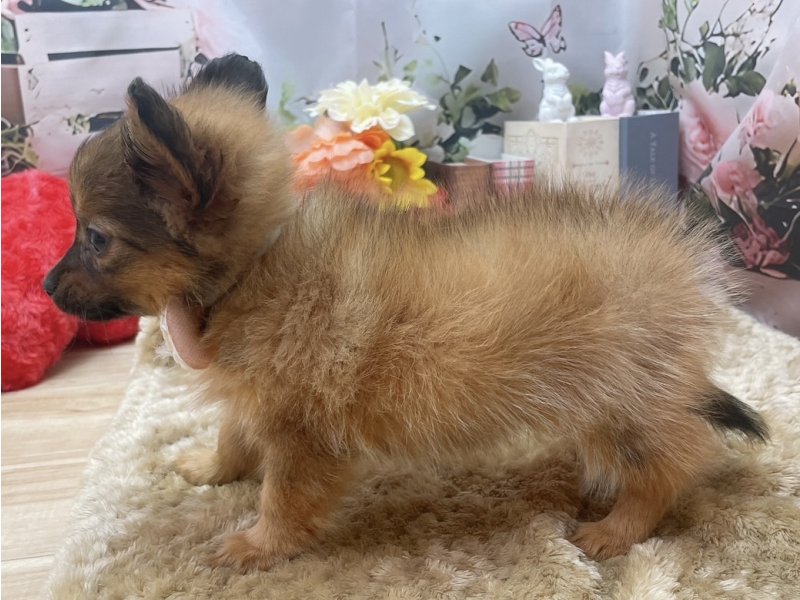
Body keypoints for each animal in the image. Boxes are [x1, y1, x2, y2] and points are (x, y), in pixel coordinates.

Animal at [45, 54, 767, 571]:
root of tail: (684, 265)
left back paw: (617, 530)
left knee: (679, 458)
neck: (255, 266)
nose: (47, 286)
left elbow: (283, 496)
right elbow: (233, 437)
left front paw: (258, 545)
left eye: (96, 238)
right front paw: (210, 471)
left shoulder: (302, 434)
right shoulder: (260, 401)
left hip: (614, 405)